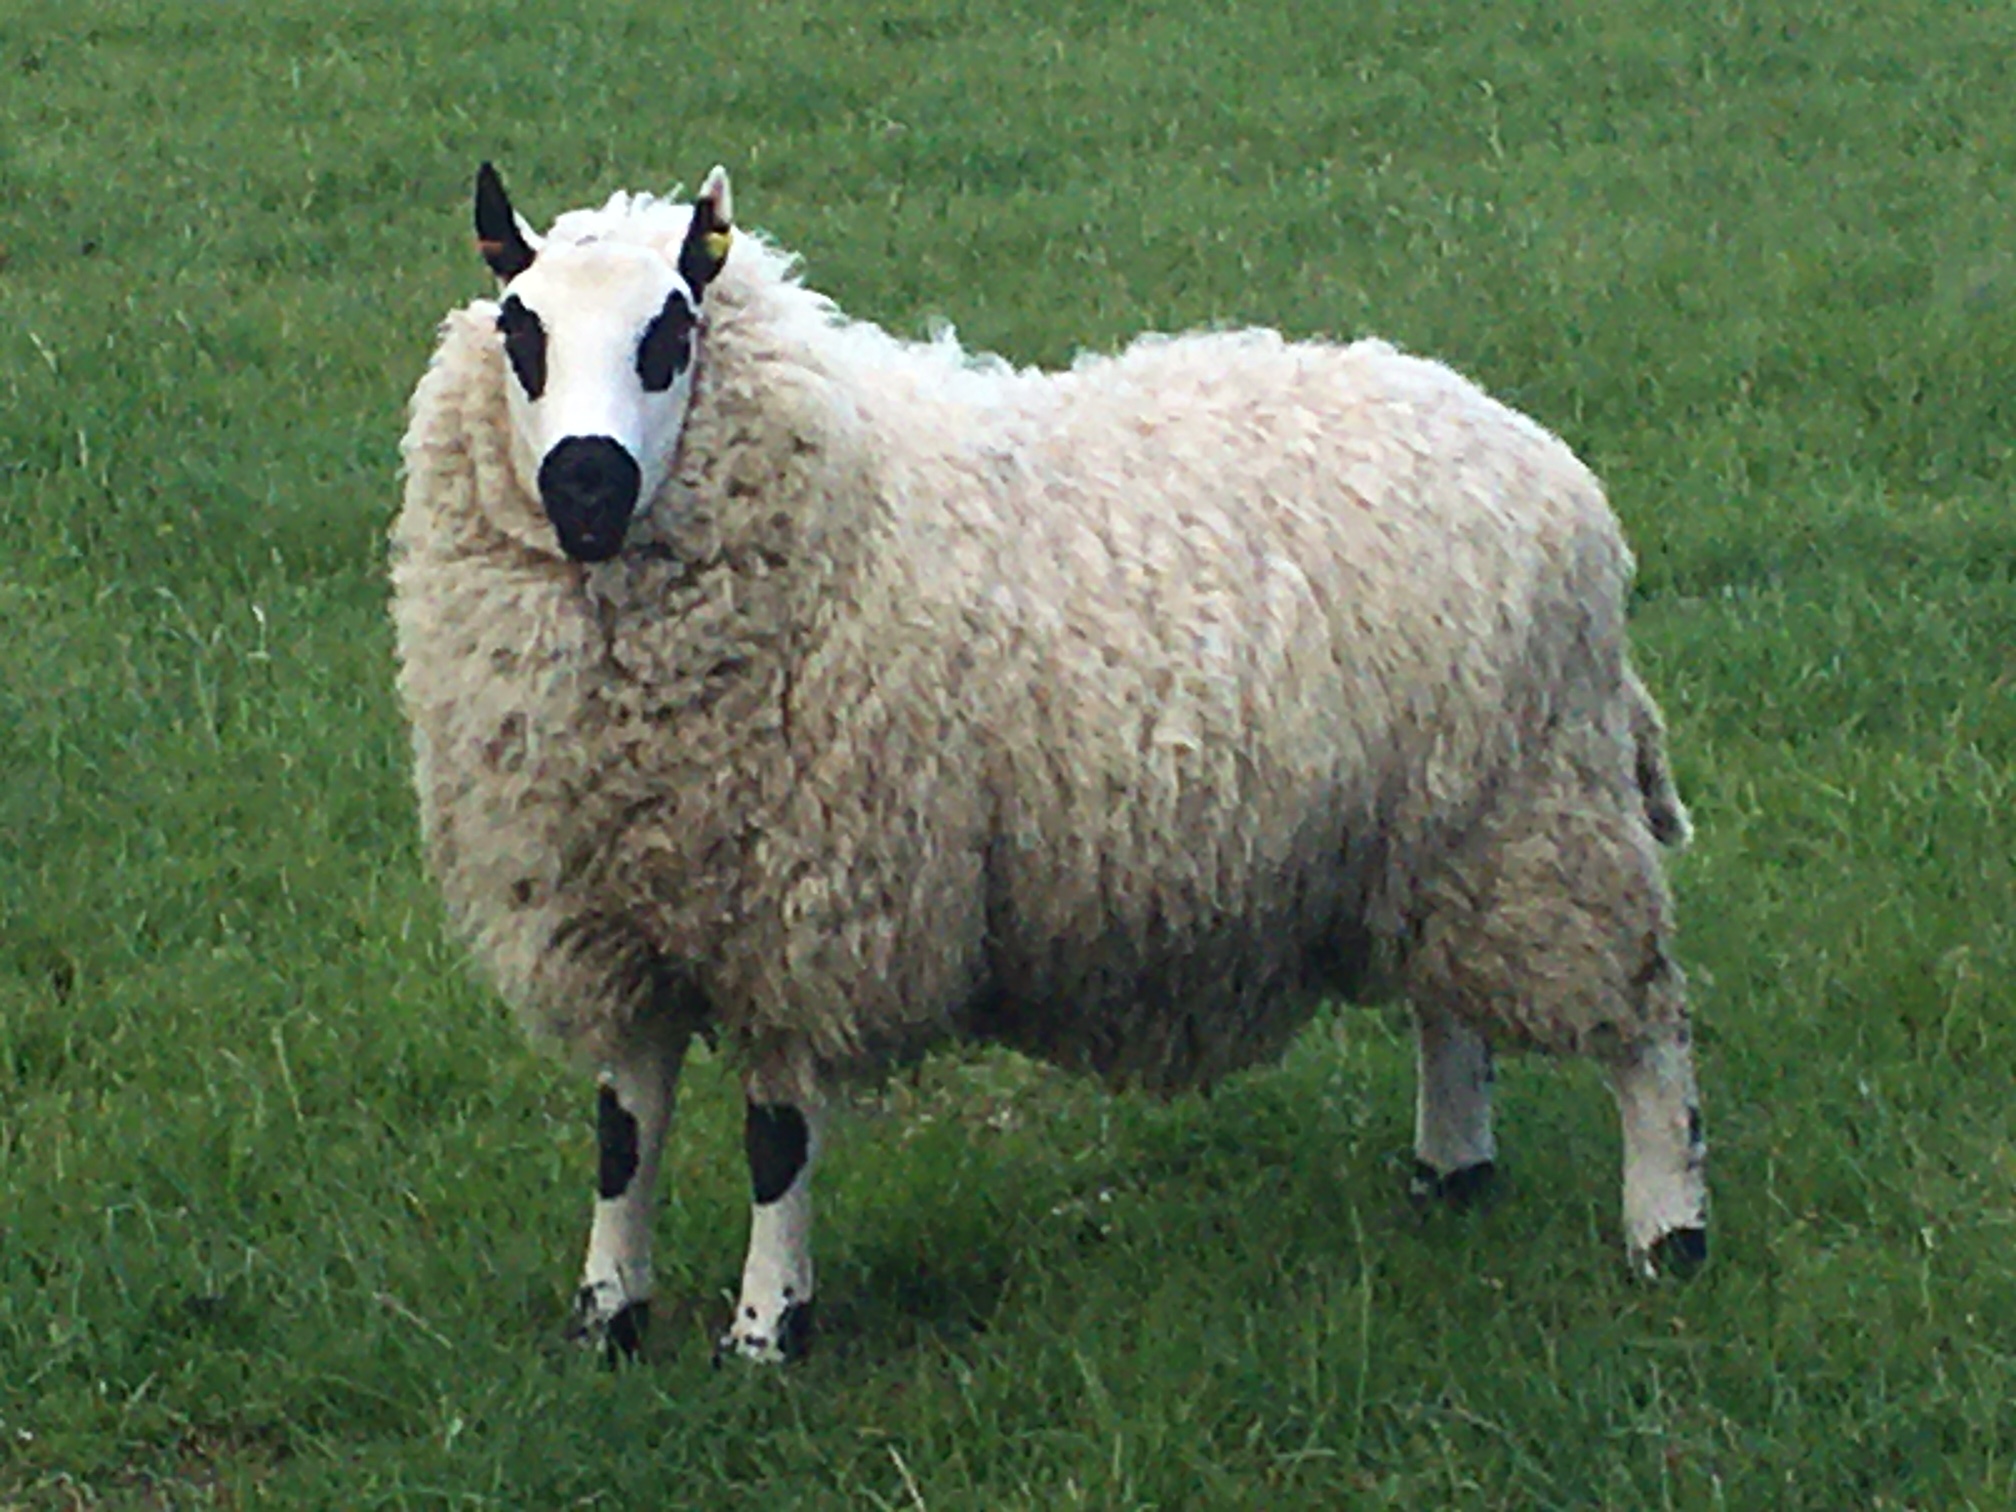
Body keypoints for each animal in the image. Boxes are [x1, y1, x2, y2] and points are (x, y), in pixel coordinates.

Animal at [397, 163, 1717, 1362]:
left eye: (673, 332)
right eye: (521, 330)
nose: (586, 480)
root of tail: (1540, 457)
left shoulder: (807, 916)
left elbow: (777, 1142)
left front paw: (768, 1332)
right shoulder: (618, 923)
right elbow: (622, 1137)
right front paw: (607, 1318)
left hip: (1540, 818)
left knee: (1647, 1025)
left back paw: (1668, 1233)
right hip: (1440, 824)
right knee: (1451, 1006)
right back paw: (1452, 1171)